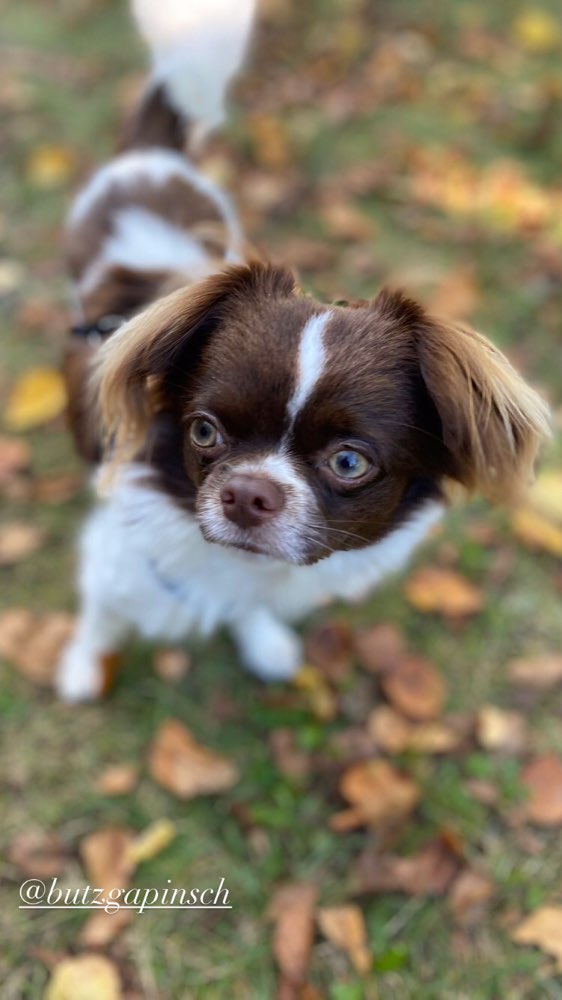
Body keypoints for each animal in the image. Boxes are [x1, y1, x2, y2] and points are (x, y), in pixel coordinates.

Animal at [55, 1, 548, 704]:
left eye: (348, 462)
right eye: (203, 431)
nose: (247, 493)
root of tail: (152, 156)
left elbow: (252, 608)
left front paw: (262, 640)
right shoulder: (115, 560)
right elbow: (101, 614)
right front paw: (81, 667)